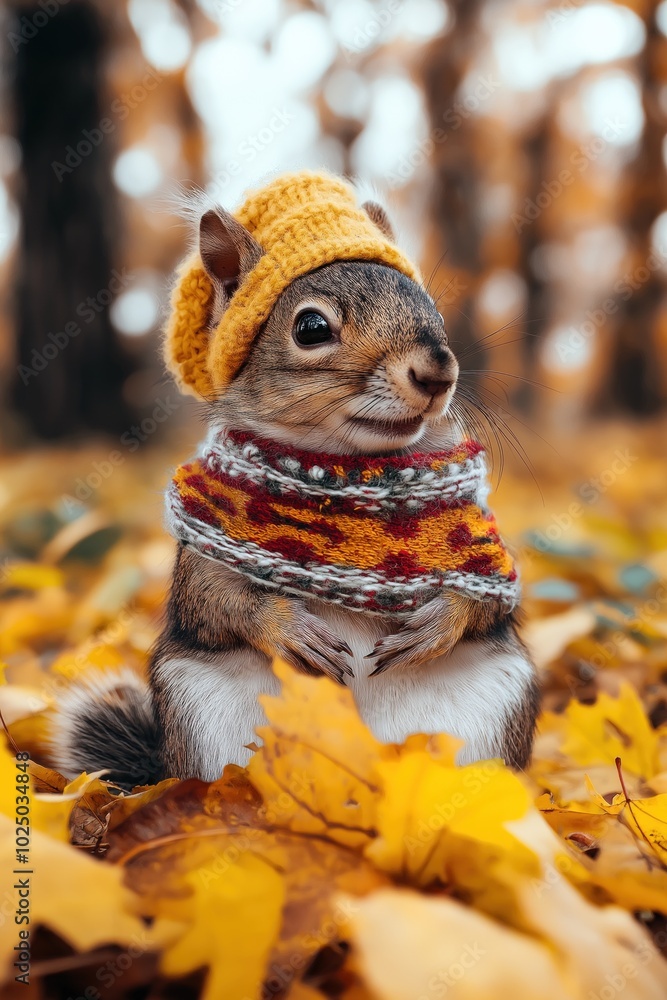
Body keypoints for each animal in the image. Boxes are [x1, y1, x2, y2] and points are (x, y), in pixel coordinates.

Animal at [51, 172, 539, 789]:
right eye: (311, 328)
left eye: (432, 308)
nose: (437, 371)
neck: (347, 465)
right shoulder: (205, 545)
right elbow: (213, 600)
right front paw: (285, 626)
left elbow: (488, 603)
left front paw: (437, 622)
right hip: (200, 711)